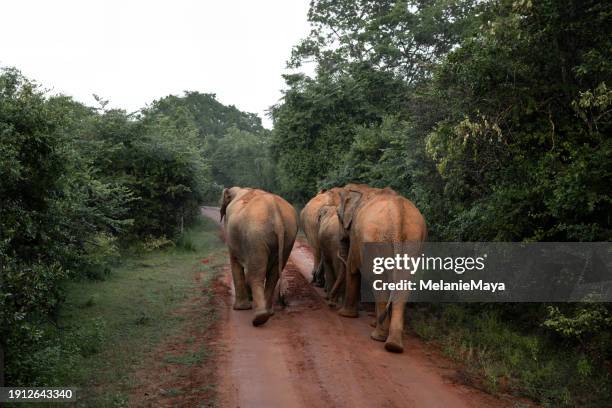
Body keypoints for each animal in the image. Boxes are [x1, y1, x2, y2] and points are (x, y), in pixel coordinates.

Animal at [220, 187, 298, 326]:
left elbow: (235, 262)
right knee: (273, 275)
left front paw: (240, 308)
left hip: (255, 236)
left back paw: (259, 318)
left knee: (256, 275)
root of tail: (275, 212)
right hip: (288, 236)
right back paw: (268, 313)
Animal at [334, 183, 426, 352]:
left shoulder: (356, 237)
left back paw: (379, 336)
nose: (331, 302)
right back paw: (393, 344)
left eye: (338, 215)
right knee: (402, 285)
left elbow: (352, 268)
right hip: (413, 240)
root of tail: (398, 213)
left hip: (375, 241)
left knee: (380, 283)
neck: (363, 189)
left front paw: (345, 315)